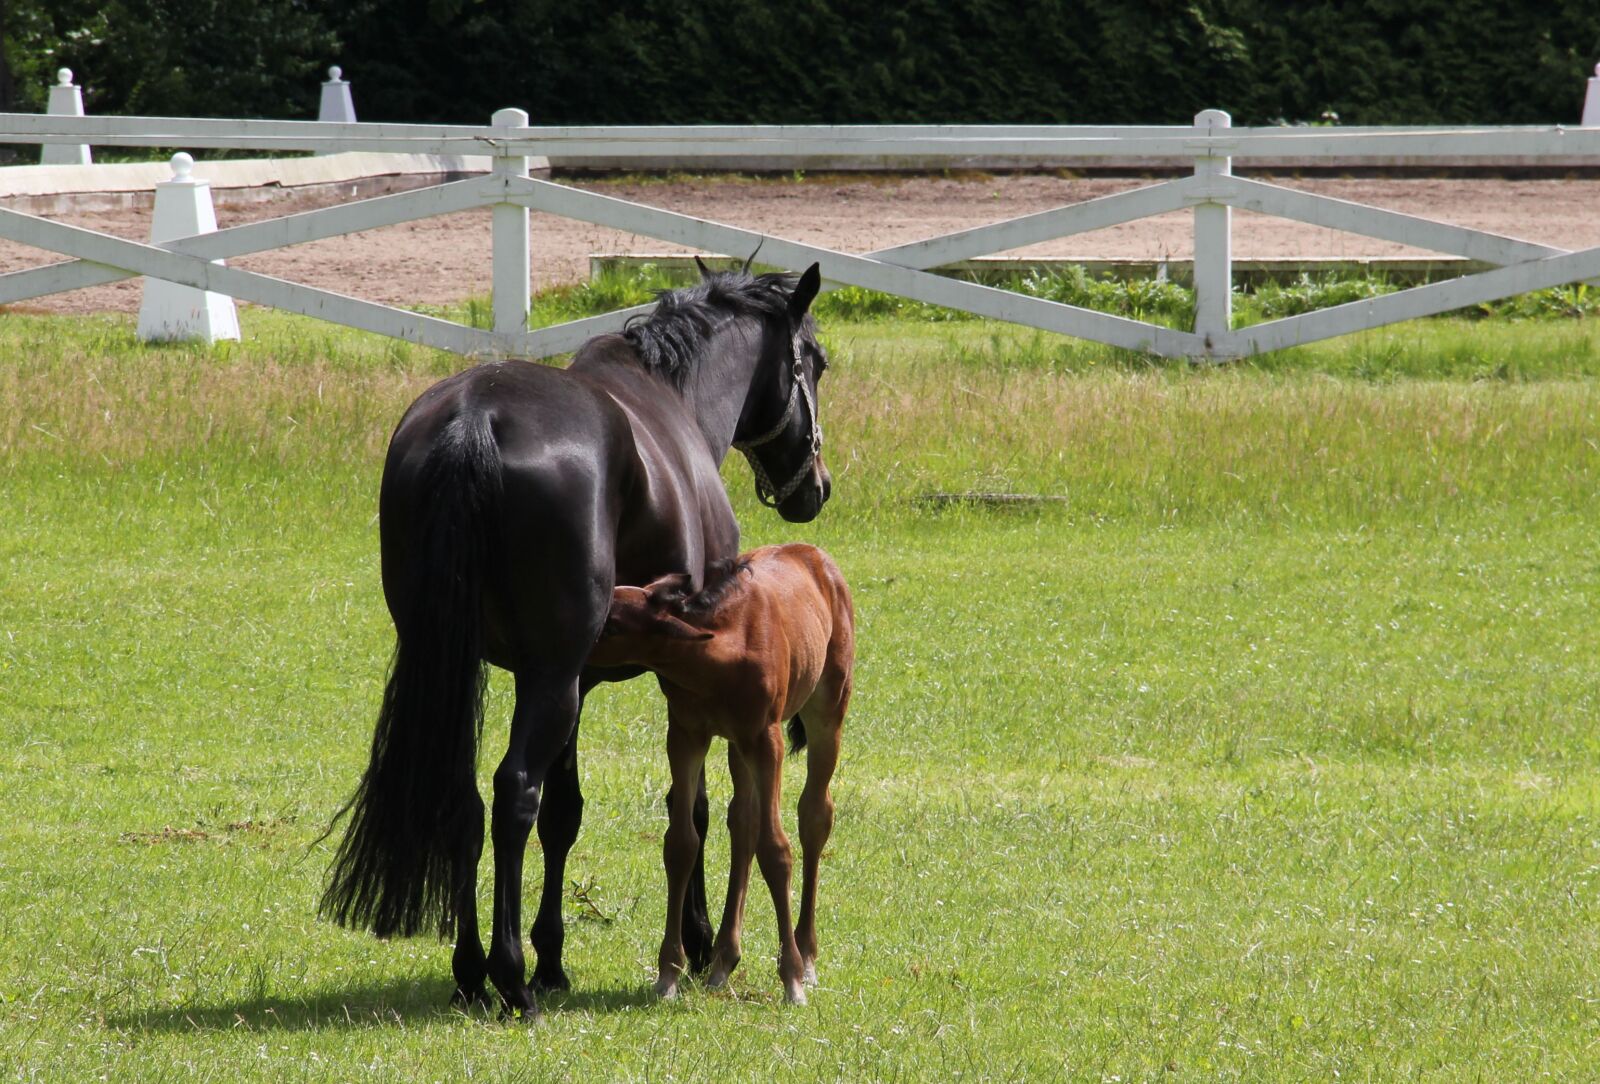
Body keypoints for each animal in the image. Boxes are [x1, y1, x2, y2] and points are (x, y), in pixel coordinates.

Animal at [588, 544, 854, 1005]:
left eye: (615, 624)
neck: (720, 657)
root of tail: (816, 554)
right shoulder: (685, 734)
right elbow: (681, 844)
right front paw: (668, 973)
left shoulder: (767, 740)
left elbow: (776, 849)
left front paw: (791, 978)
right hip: (736, 746)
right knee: (742, 823)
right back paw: (723, 962)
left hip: (827, 711)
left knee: (814, 816)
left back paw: (807, 956)